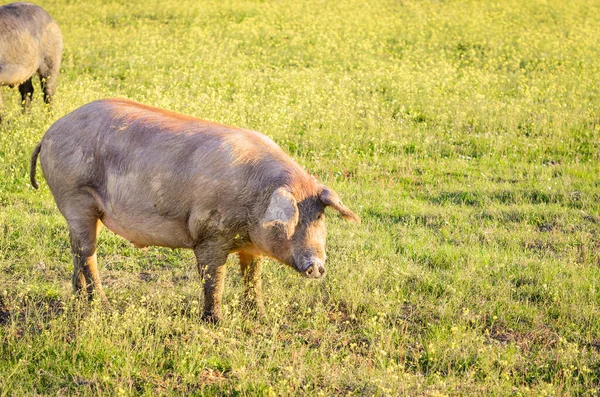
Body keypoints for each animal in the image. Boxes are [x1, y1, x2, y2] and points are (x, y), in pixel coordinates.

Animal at [30, 99, 360, 322]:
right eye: (293, 219)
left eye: (320, 217)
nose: (316, 266)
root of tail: (49, 132)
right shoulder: (209, 235)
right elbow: (214, 278)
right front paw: (216, 322)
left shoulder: (250, 246)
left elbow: (253, 277)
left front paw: (260, 317)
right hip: (75, 195)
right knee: (88, 253)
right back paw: (104, 306)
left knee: (75, 249)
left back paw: (77, 297)